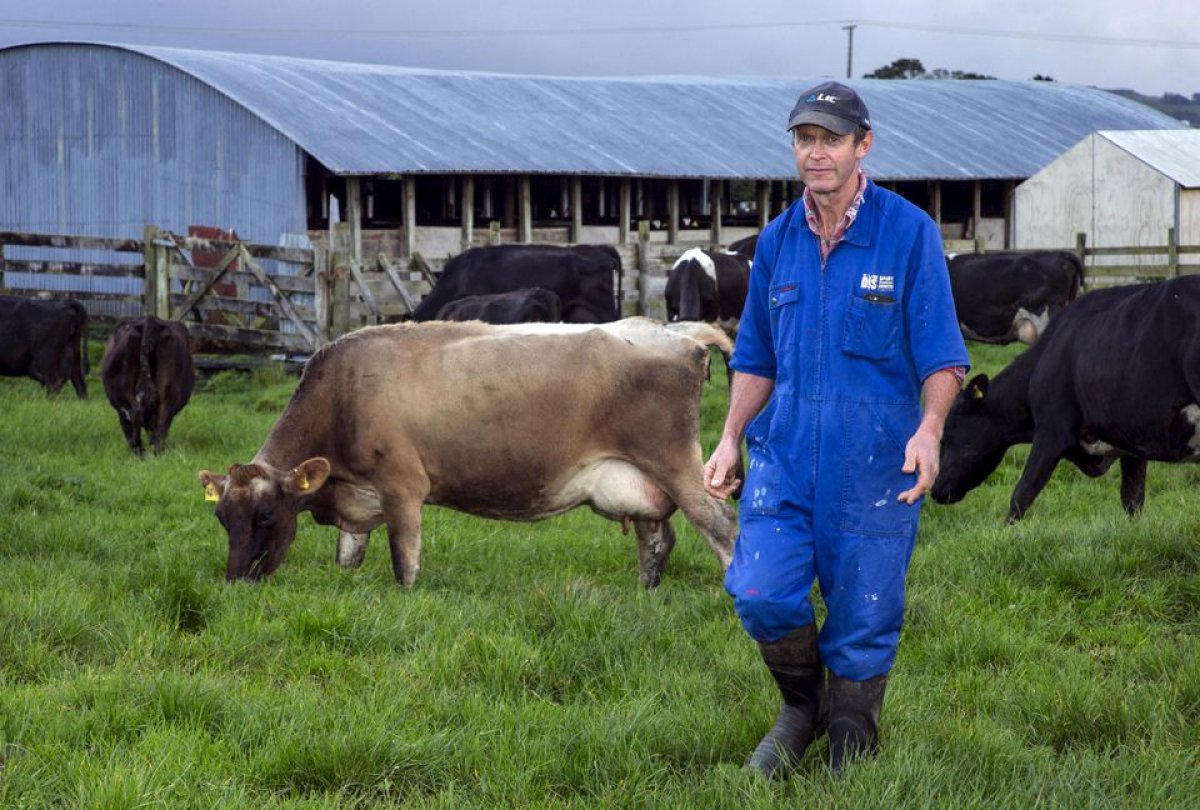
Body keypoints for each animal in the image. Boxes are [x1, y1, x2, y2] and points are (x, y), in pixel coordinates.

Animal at [200, 316, 734, 590]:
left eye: (267, 515)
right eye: (223, 519)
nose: (233, 583)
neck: (342, 395)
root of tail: (676, 332)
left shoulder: (402, 487)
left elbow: (405, 563)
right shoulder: (358, 501)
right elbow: (348, 558)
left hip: (678, 465)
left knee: (721, 528)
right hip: (642, 482)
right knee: (657, 539)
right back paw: (646, 593)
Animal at [931, 276, 1200, 523]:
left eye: (948, 433)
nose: (935, 489)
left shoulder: (1052, 431)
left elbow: (1022, 494)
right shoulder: (1133, 441)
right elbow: (1132, 500)